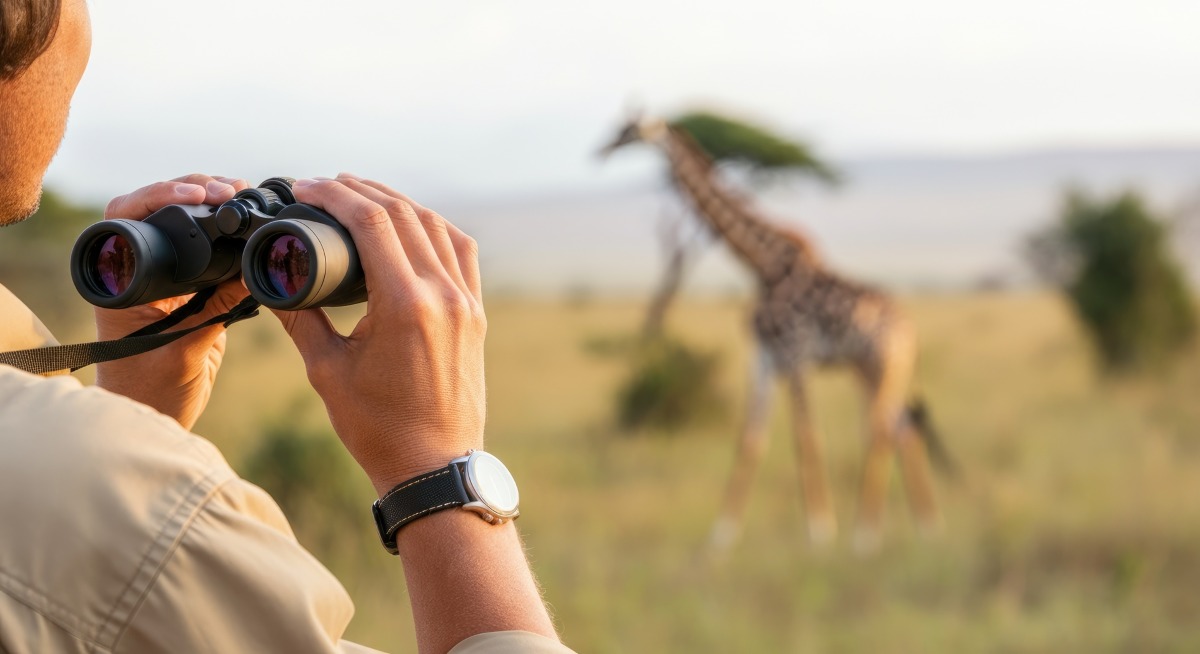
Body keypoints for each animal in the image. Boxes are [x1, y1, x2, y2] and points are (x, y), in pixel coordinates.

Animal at [600, 116, 952, 552]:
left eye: (630, 130)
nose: (603, 148)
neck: (761, 263)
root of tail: (909, 329)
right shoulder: (764, 355)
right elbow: (751, 440)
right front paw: (720, 538)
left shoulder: (795, 351)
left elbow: (806, 437)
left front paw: (819, 532)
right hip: (873, 368)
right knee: (902, 430)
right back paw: (926, 528)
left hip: (880, 363)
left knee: (883, 429)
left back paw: (865, 536)